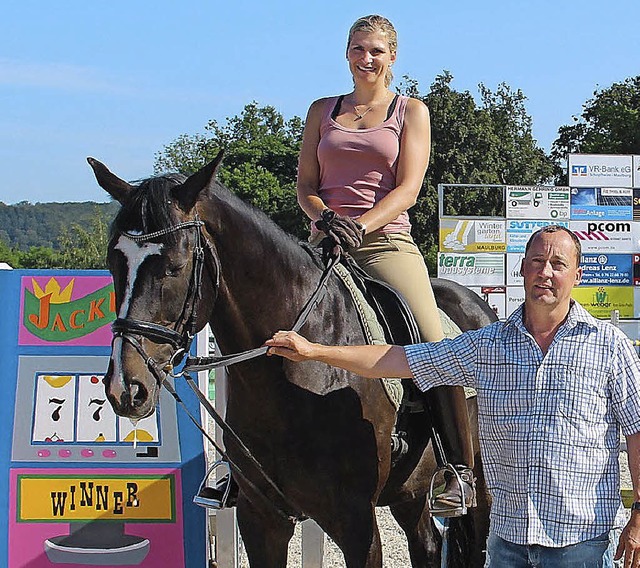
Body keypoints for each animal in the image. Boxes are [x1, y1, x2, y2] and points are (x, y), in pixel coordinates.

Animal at [87, 152, 496, 568]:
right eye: (113, 263)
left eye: (175, 265)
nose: (126, 387)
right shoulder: (261, 518)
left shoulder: (356, 521)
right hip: (410, 493)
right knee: (426, 543)